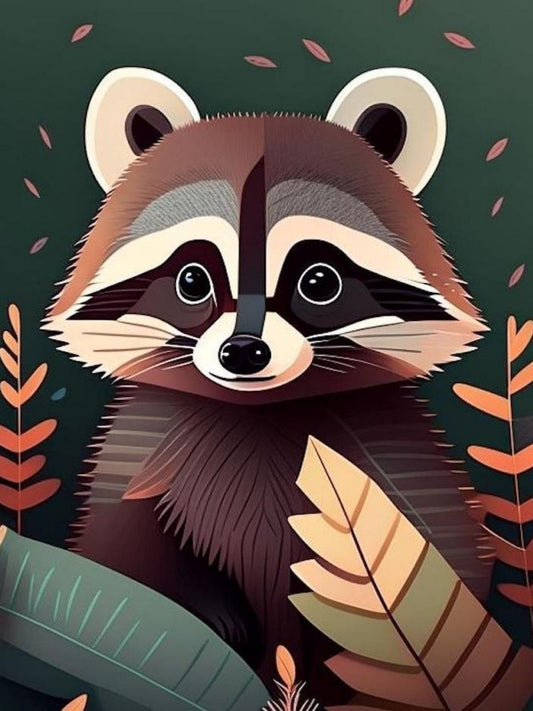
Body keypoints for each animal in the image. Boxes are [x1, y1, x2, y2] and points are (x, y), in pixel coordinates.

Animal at [44, 66, 489, 703]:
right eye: (192, 280)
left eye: (319, 281)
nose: (243, 352)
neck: (256, 406)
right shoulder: (136, 450)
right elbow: (124, 551)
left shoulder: (395, 460)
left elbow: (434, 558)